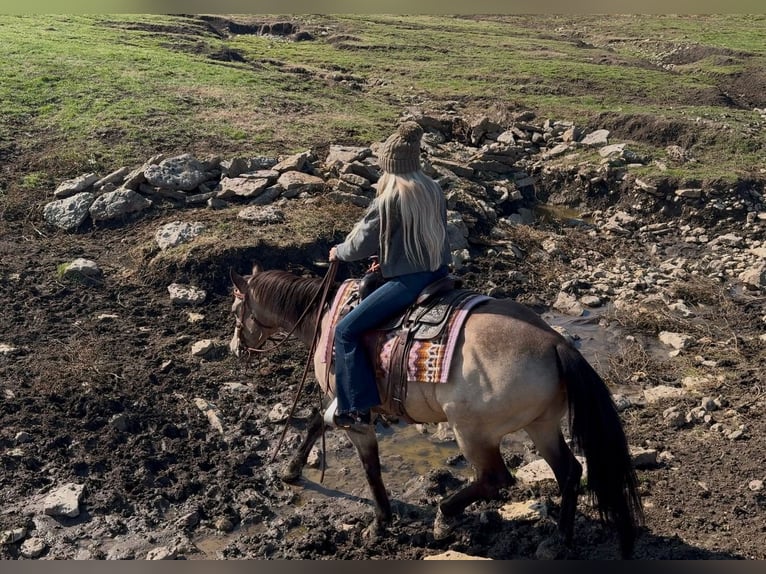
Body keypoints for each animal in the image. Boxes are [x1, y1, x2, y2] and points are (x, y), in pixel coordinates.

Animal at [231, 264, 644, 560]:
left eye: (237, 309)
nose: (236, 349)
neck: (327, 319)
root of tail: (557, 345)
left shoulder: (353, 412)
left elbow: (369, 467)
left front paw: (379, 524)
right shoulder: (339, 402)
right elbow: (317, 422)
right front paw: (291, 469)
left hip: (473, 432)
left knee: (495, 479)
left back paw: (445, 518)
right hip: (541, 426)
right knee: (569, 472)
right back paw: (560, 539)